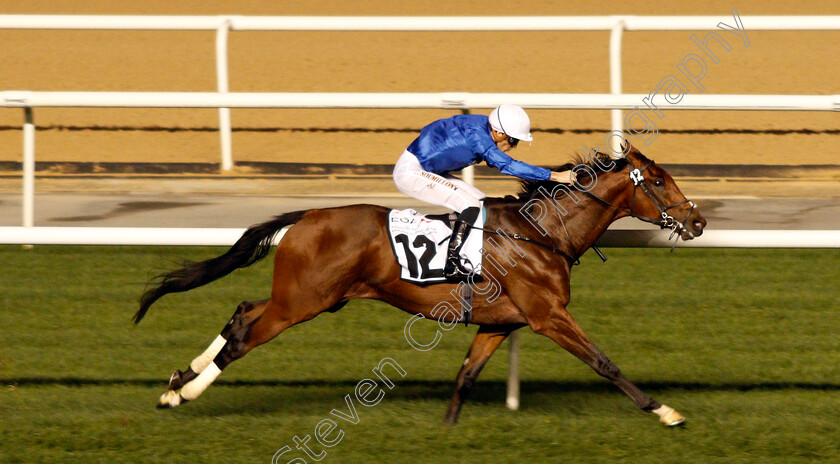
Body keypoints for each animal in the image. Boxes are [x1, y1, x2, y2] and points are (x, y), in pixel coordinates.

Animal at [135, 147, 704, 426]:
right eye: (658, 182)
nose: (696, 221)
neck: (542, 233)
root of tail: (307, 216)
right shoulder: (548, 316)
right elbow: (604, 362)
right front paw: (664, 411)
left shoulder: (501, 324)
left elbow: (466, 375)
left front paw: (447, 428)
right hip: (301, 302)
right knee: (244, 338)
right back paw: (182, 394)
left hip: (305, 297)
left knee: (241, 311)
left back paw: (178, 379)